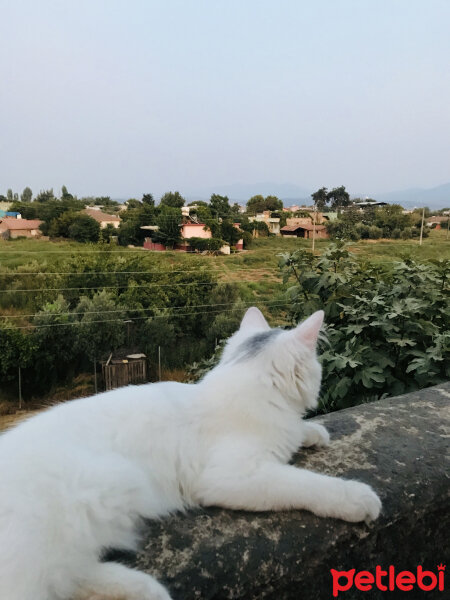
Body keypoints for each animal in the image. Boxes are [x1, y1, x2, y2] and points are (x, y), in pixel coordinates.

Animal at [0, 310, 380, 600]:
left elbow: (299, 431)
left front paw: (312, 432)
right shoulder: (232, 476)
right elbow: (304, 484)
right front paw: (356, 498)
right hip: (102, 487)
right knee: (47, 581)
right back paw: (146, 590)